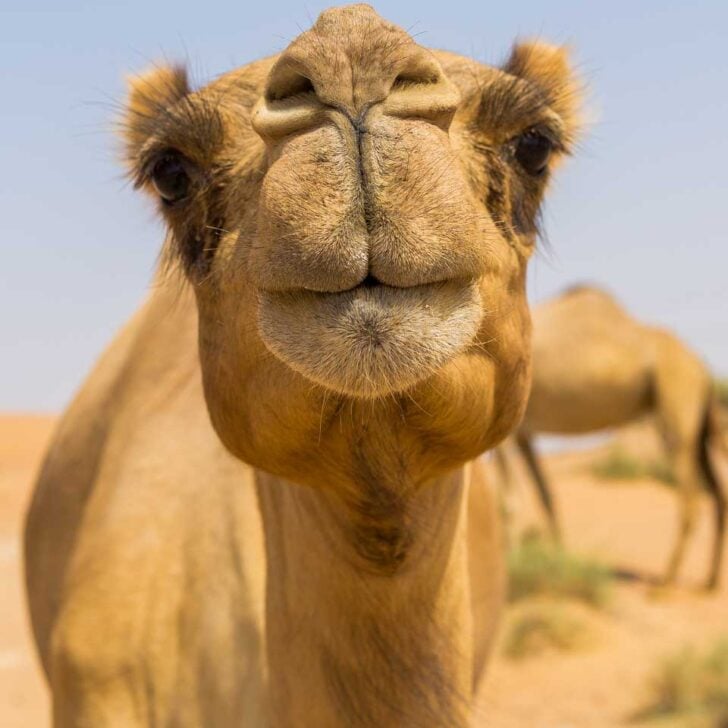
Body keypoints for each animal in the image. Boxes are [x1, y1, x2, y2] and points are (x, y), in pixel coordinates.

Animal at [497, 285, 727, 590]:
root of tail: (702, 367)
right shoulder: (525, 432)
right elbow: (545, 494)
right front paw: (559, 559)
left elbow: (508, 502)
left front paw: (510, 570)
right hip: (698, 426)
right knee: (718, 493)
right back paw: (709, 582)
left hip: (676, 395)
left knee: (689, 498)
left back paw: (665, 583)